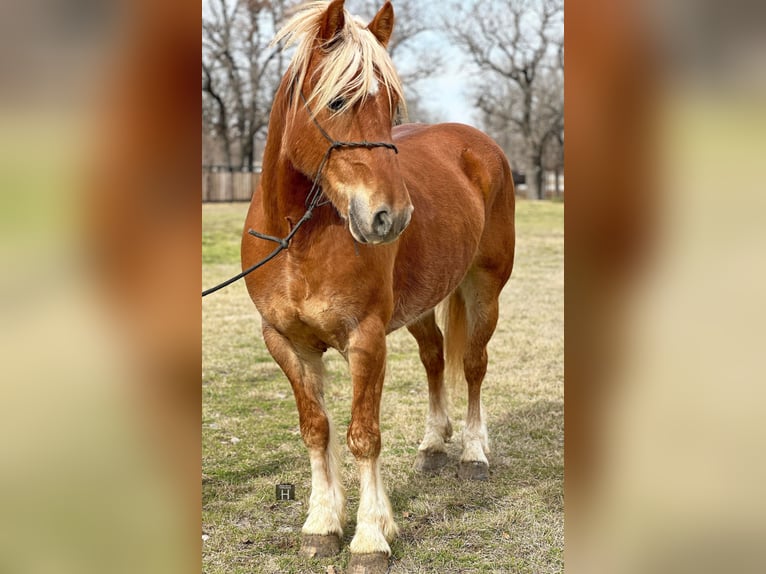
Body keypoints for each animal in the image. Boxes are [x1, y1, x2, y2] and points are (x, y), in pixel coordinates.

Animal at [240, 2, 516, 572]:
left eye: (391, 104)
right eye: (337, 100)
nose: (392, 217)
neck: (296, 241)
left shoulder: (365, 340)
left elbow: (363, 436)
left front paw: (370, 537)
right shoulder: (286, 343)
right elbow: (316, 428)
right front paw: (322, 524)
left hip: (485, 289)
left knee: (473, 365)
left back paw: (474, 453)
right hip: (420, 306)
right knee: (435, 357)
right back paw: (434, 446)